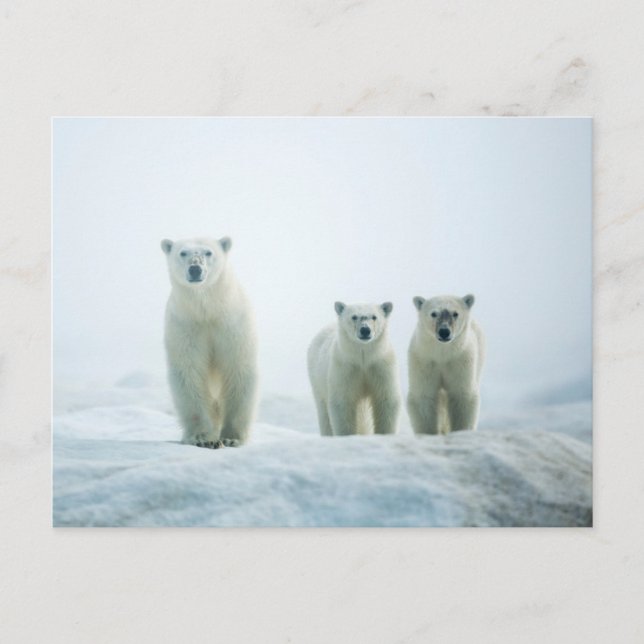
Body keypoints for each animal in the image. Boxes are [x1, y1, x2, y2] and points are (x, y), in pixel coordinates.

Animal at [161, 236, 258, 448]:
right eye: (183, 253)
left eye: (208, 252)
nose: (195, 269)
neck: (207, 310)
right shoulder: (186, 326)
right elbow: (189, 373)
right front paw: (203, 438)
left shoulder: (232, 325)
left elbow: (237, 369)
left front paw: (231, 438)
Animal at [307, 301, 401, 436]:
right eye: (354, 317)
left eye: (374, 317)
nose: (365, 330)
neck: (363, 358)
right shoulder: (345, 368)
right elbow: (343, 402)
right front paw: (347, 435)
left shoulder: (380, 366)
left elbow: (386, 400)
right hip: (317, 379)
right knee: (323, 411)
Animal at [407, 294, 484, 435]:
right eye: (433, 313)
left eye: (455, 313)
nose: (444, 331)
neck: (442, 355)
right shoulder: (424, 360)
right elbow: (423, 396)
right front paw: (429, 433)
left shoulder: (460, 360)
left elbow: (462, 396)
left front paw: (460, 431)